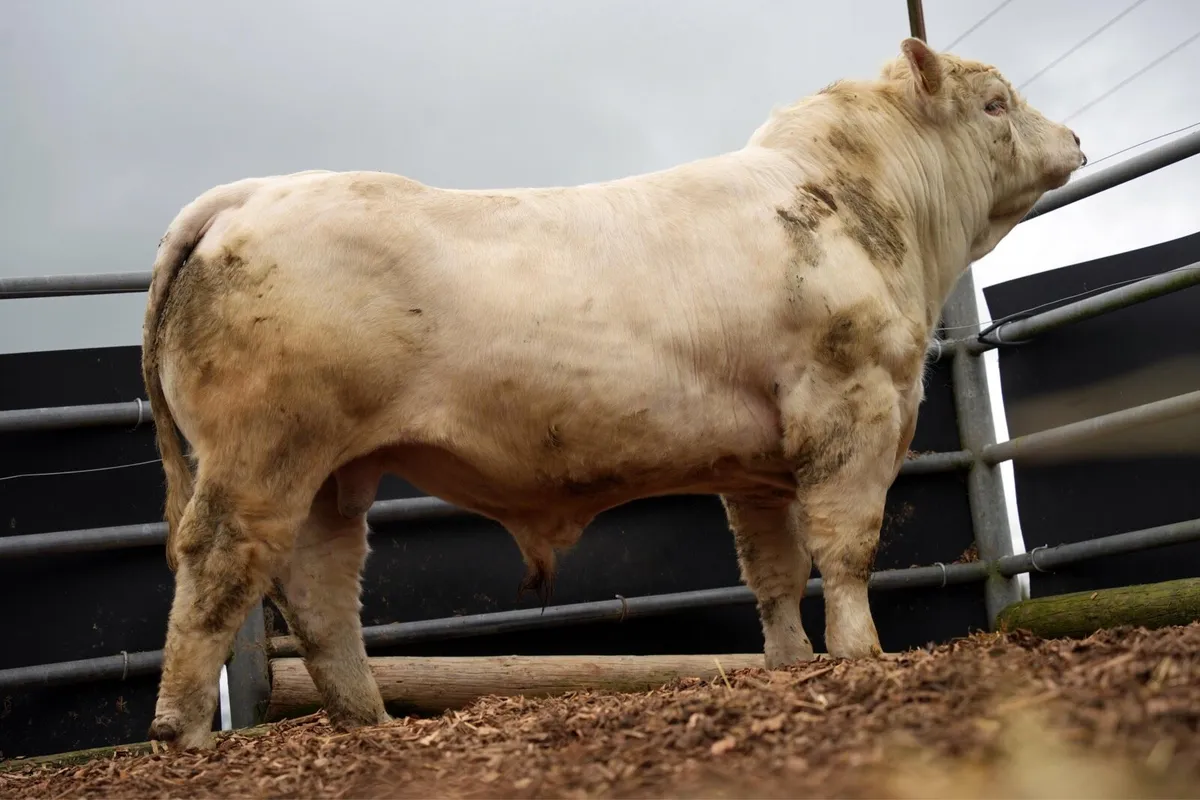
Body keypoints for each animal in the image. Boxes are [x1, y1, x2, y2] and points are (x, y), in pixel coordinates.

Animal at [140, 38, 1085, 750]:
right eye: (995, 103)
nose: (1075, 138)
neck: (864, 209)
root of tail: (247, 196)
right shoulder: (848, 409)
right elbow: (846, 549)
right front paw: (862, 655)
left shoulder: (757, 465)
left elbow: (772, 571)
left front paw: (789, 666)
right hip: (265, 449)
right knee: (221, 561)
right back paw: (182, 731)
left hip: (337, 473)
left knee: (320, 589)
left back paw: (368, 721)